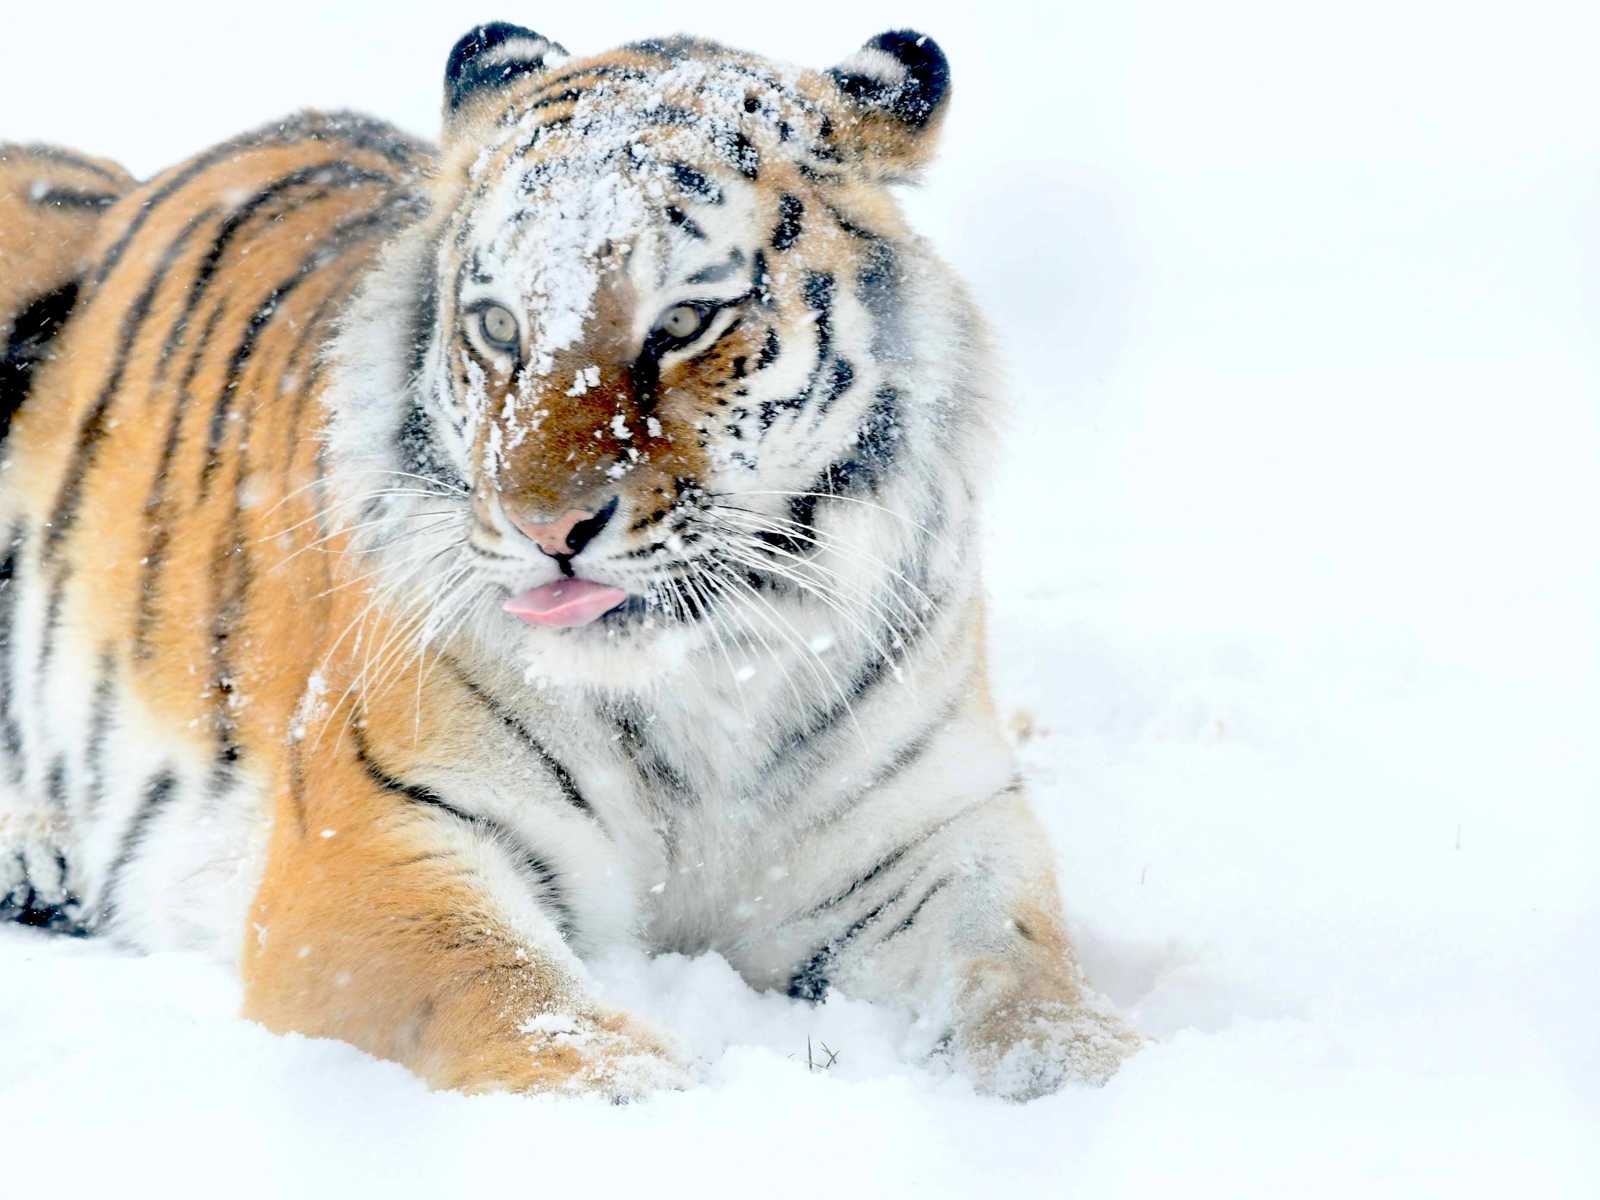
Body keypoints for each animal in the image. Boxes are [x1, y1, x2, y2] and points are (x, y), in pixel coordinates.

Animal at [0, 25, 1139, 1100]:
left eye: (684, 321)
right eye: (500, 325)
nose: (545, 528)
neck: (705, 680)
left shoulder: (933, 837)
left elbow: (1022, 976)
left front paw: (1086, 1079)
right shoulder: (379, 844)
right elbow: (507, 998)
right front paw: (645, 1102)